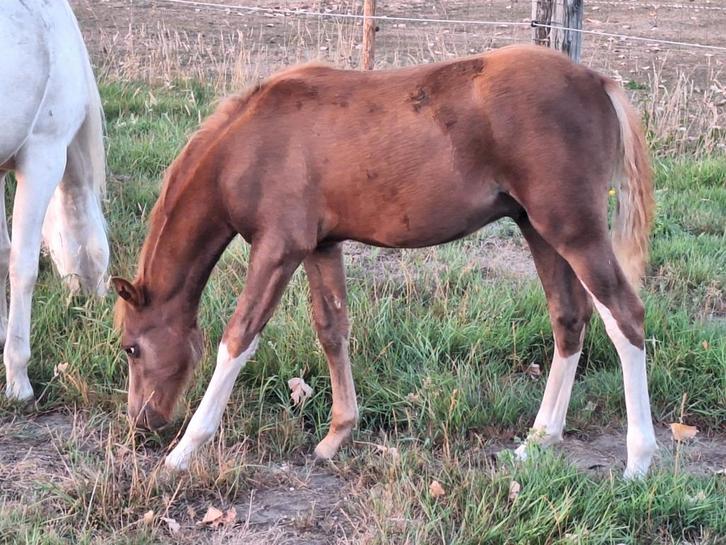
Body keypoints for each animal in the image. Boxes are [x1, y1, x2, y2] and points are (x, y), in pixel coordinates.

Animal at [112, 44, 657, 479]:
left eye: (131, 348)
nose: (142, 426)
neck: (248, 146)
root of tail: (597, 81)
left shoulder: (278, 248)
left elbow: (237, 337)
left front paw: (183, 453)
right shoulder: (321, 246)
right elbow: (332, 330)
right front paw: (336, 437)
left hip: (572, 229)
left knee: (625, 318)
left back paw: (638, 463)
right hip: (537, 228)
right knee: (569, 318)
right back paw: (538, 441)